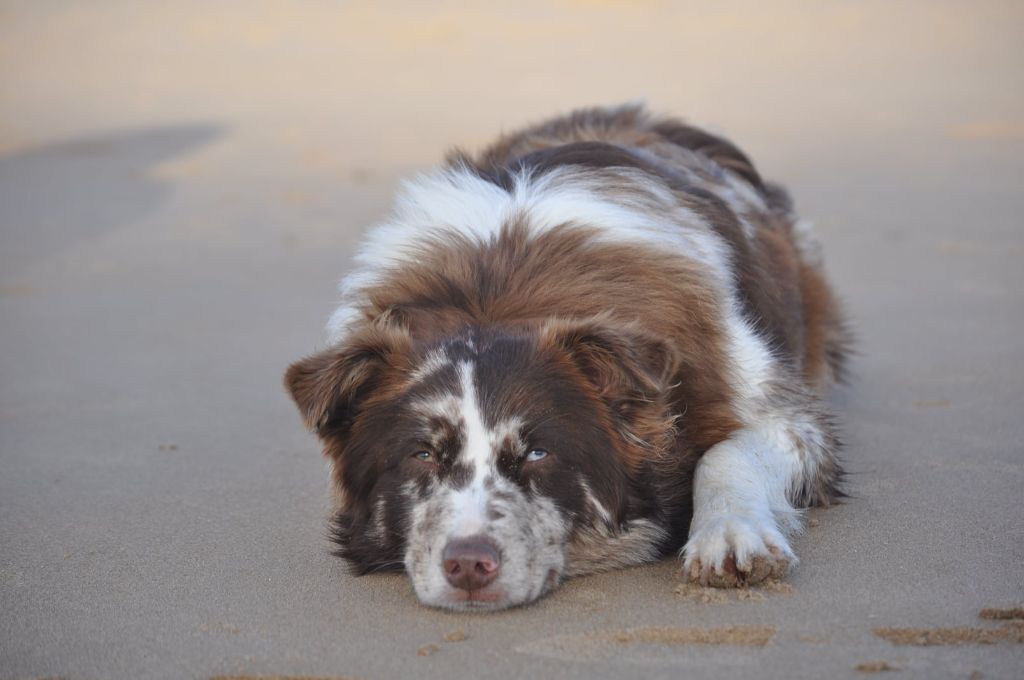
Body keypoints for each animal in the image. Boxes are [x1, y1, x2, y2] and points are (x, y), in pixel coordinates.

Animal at [282, 104, 847, 610]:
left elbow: (726, 454)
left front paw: (729, 535)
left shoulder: (783, 410)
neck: (495, 296)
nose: (469, 565)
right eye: (422, 454)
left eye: (538, 453)